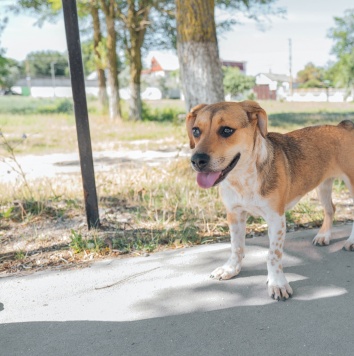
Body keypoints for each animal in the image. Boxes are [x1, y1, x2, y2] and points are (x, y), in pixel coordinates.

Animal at [185, 100, 354, 300]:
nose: (197, 160)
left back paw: (351, 241)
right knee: (330, 209)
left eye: (226, 130)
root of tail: (342, 126)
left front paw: (277, 283)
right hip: (323, 185)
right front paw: (231, 269)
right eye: (196, 131)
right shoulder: (234, 214)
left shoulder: (276, 219)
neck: (243, 179)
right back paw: (323, 236)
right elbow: (236, 247)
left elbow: (273, 255)